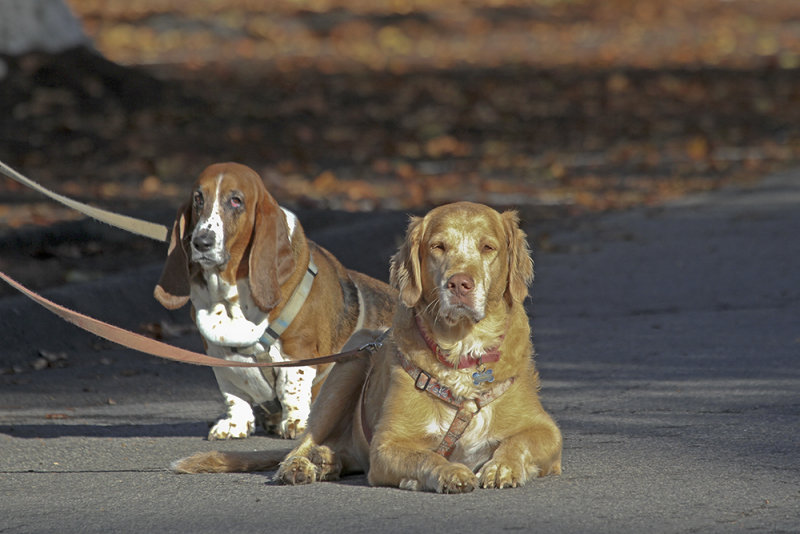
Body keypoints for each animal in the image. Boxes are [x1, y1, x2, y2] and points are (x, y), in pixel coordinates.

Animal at [154, 162, 396, 440]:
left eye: (236, 201)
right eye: (198, 199)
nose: (201, 242)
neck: (230, 296)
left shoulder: (298, 351)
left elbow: (293, 388)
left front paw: (296, 423)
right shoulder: (217, 356)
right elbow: (233, 395)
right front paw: (235, 424)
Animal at [173, 202, 564, 494]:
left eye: (488, 247)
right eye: (438, 247)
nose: (459, 284)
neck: (462, 351)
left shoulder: (548, 432)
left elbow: (518, 443)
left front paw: (502, 467)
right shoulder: (388, 444)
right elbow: (428, 458)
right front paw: (450, 472)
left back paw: (327, 460)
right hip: (350, 363)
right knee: (302, 442)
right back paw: (302, 465)